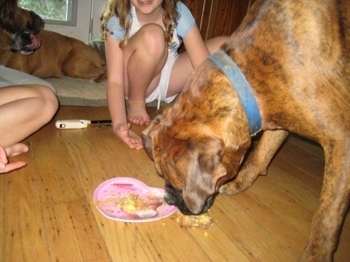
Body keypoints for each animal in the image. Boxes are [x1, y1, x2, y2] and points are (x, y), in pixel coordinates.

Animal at [142, 0, 350, 260]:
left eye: (176, 182)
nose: (168, 199)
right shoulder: (277, 115)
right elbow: (261, 155)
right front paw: (240, 183)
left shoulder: (341, 140)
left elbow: (327, 215)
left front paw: (316, 253)